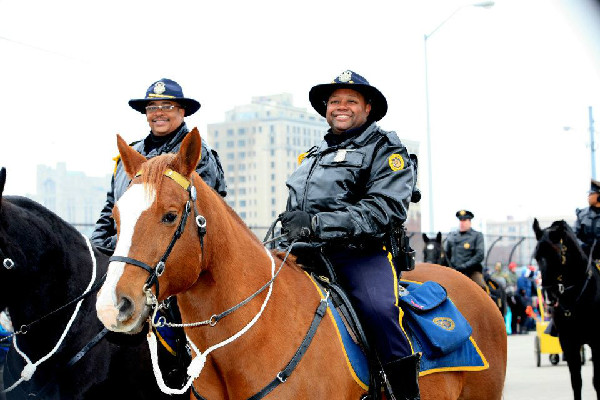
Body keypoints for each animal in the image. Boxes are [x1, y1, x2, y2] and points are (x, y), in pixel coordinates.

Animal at [536, 219, 600, 400]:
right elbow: (576, 381)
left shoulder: (596, 342)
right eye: (536, 257)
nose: (548, 295)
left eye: (557, 255)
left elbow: (597, 381)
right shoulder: (568, 342)